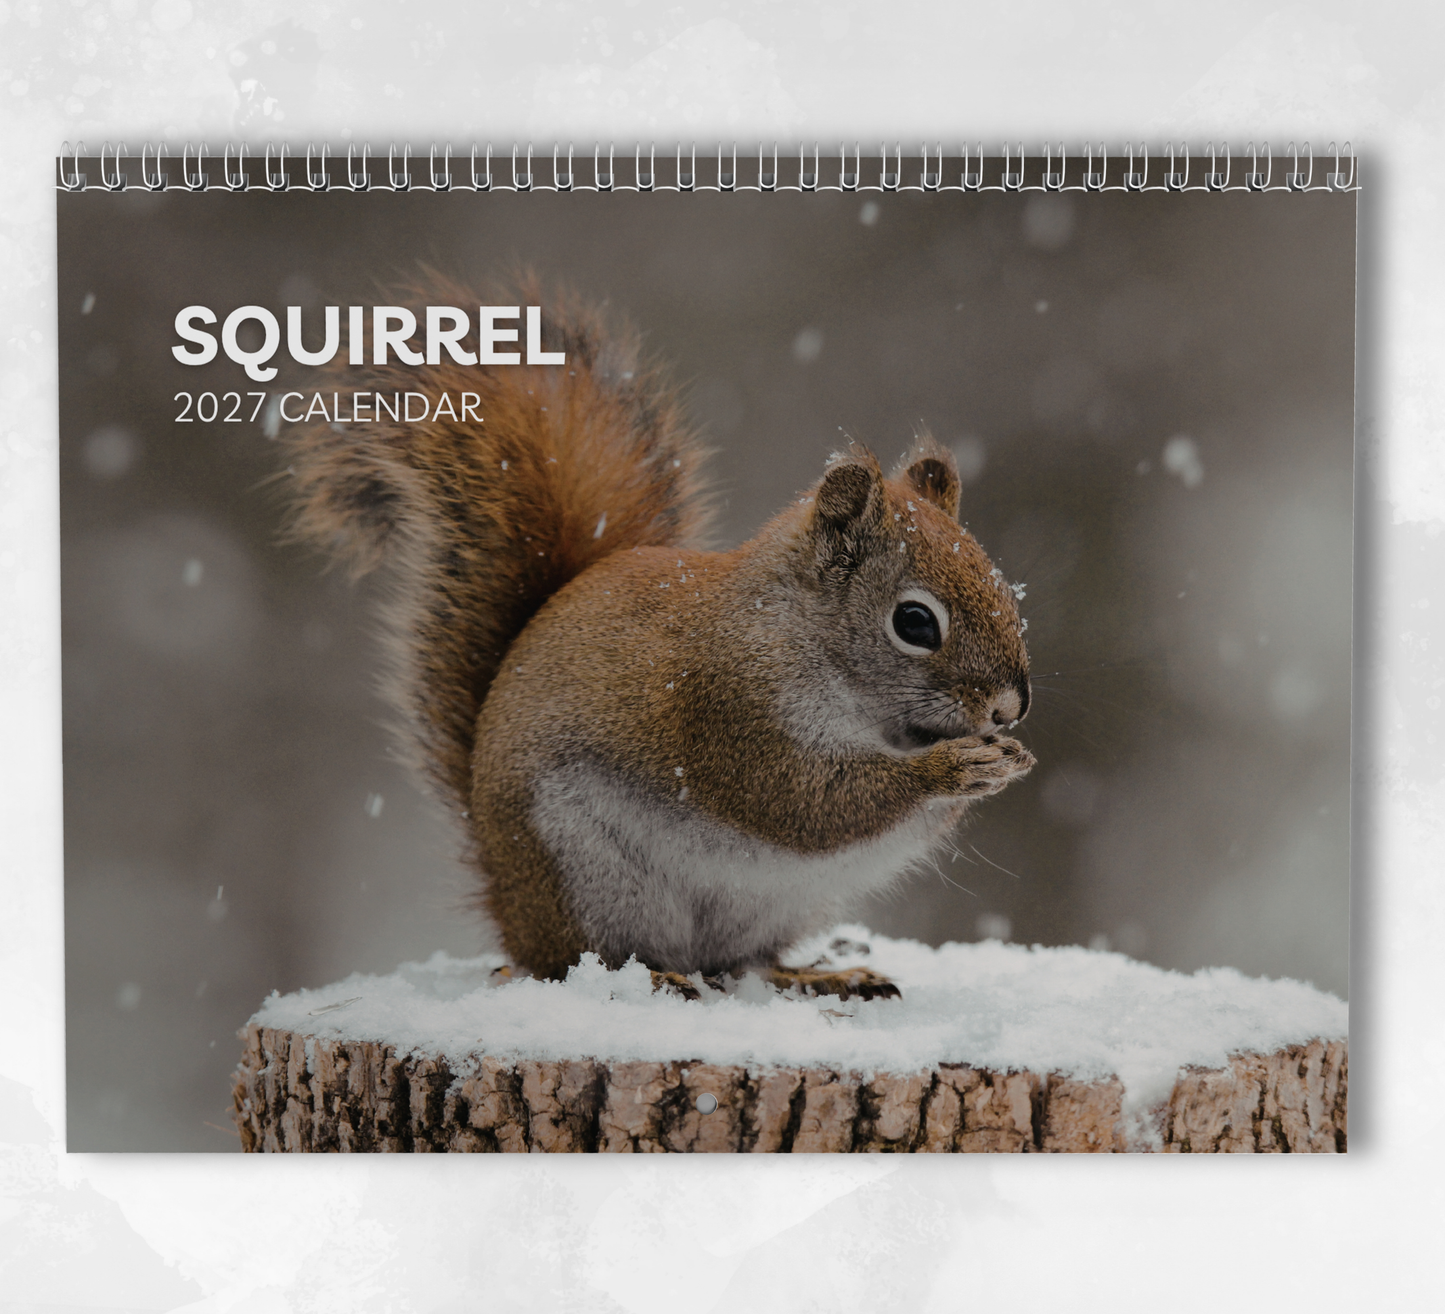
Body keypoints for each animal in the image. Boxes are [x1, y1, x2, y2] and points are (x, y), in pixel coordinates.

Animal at [282, 281, 1035, 1000]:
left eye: (1002, 588)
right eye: (915, 623)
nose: (1010, 707)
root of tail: (506, 904)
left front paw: (1008, 759)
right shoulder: (729, 711)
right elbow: (807, 802)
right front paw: (955, 767)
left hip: (771, 907)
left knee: (740, 964)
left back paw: (815, 976)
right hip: (585, 873)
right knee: (578, 960)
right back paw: (649, 976)